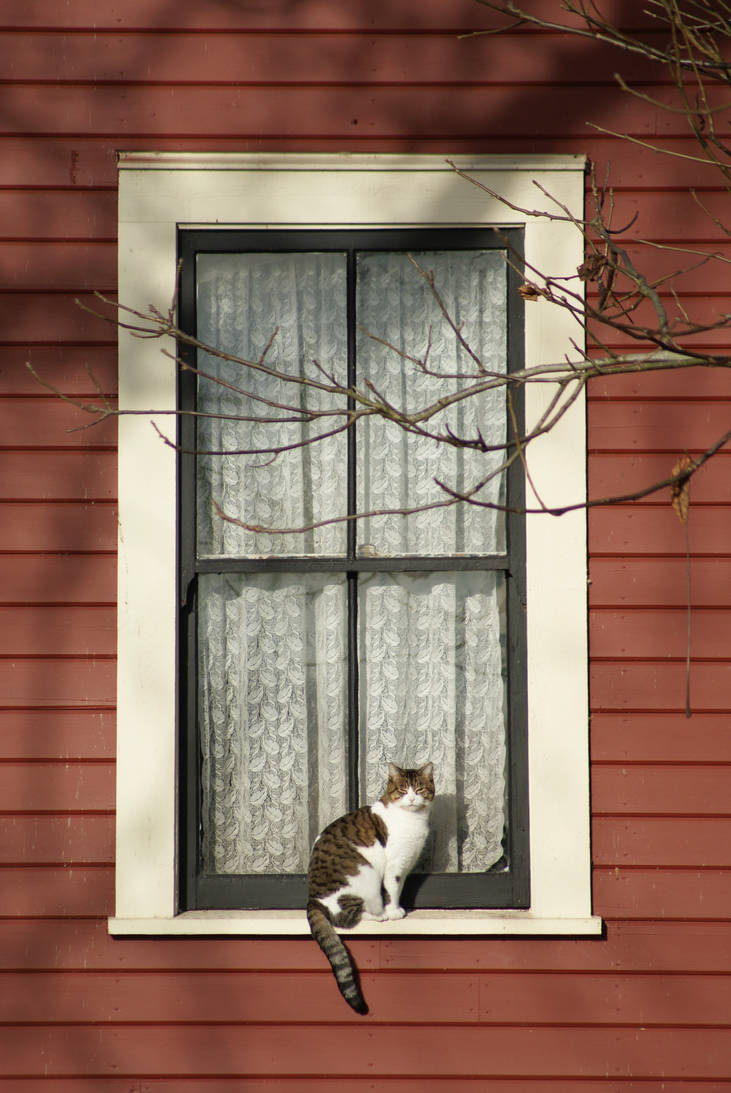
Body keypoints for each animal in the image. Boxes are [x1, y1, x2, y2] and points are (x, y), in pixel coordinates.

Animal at [305, 760, 432, 1014]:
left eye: (420, 789)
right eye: (403, 790)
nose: (412, 799)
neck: (414, 820)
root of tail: (312, 898)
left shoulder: (405, 865)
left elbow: (399, 888)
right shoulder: (394, 866)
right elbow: (392, 890)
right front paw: (394, 912)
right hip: (366, 878)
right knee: (346, 918)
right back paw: (378, 915)